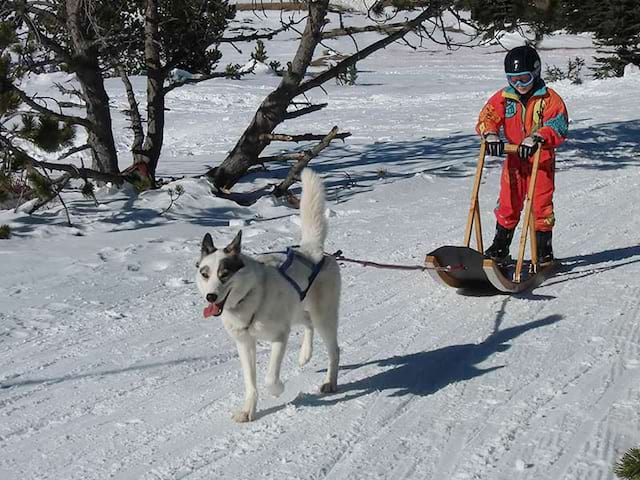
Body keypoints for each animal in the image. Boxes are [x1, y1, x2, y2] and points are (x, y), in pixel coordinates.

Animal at [198, 170, 342, 424]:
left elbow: (269, 378)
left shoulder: (279, 337)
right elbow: (251, 383)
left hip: (324, 316)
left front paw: (277, 390)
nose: (210, 297)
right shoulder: (245, 344)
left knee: (334, 350)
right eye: (205, 274)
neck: (250, 298)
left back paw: (329, 382)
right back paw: (305, 354)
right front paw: (248, 410)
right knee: (307, 323)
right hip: (298, 310)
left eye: (224, 274)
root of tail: (312, 251)